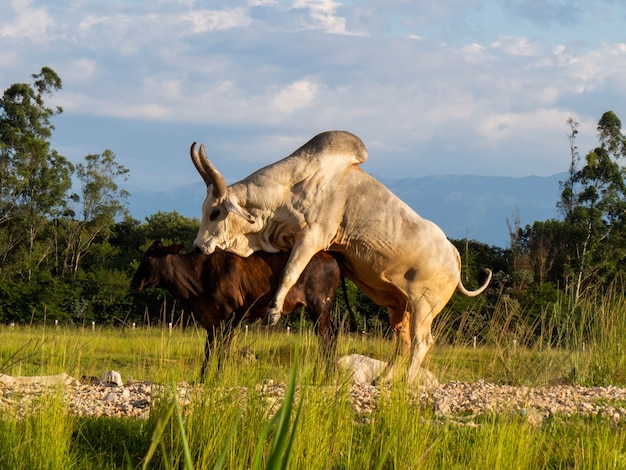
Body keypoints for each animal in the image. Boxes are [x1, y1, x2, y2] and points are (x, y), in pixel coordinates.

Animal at [130, 241, 346, 380]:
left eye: (150, 259)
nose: (134, 283)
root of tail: (330, 256)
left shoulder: (232, 315)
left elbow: (223, 348)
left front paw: (218, 377)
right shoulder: (211, 320)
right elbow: (209, 349)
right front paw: (202, 378)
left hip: (319, 306)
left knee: (326, 338)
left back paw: (323, 376)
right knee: (332, 335)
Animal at [190, 130, 488, 384]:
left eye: (215, 212)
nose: (198, 247)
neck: (291, 188)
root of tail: (454, 256)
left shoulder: (312, 237)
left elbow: (289, 273)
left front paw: (273, 312)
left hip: (424, 307)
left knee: (421, 342)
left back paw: (406, 381)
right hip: (400, 307)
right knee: (402, 344)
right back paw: (383, 379)